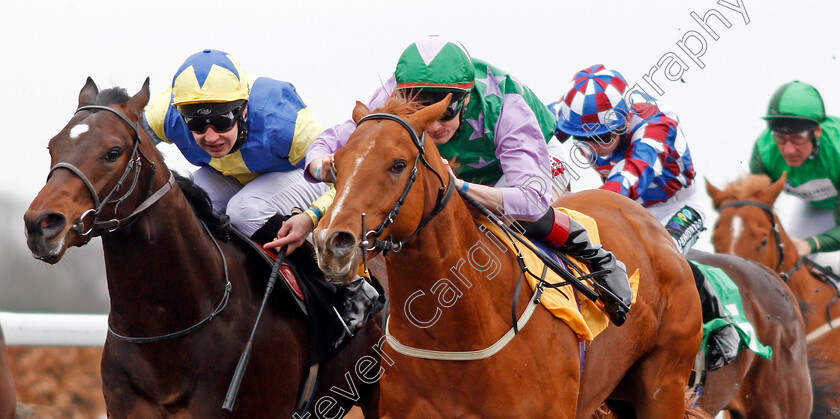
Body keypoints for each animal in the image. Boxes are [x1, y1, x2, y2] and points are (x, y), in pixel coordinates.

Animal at [312, 96, 704, 419]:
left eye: (397, 164)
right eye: (336, 165)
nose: (332, 242)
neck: (458, 329)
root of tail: (654, 229)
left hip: (663, 384)